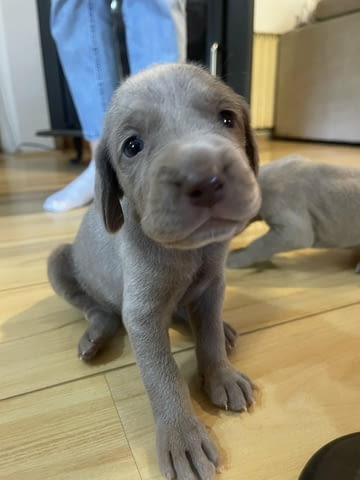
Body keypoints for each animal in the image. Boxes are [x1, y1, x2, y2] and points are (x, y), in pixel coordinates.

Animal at [48, 64, 262, 480]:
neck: (187, 252)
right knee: (100, 310)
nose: (204, 178)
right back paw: (96, 336)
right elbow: (163, 375)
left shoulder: (212, 286)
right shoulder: (142, 314)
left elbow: (209, 336)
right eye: (132, 145)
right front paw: (182, 435)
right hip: (59, 261)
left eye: (227, 118)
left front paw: (221, 374)